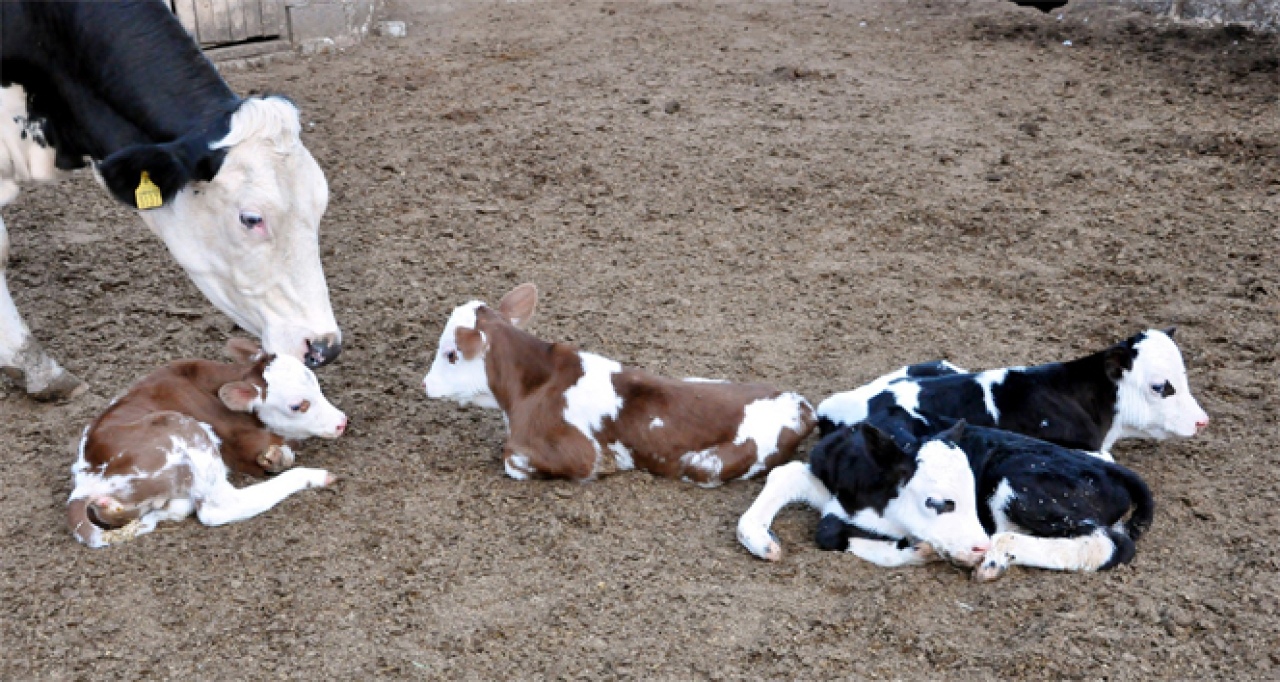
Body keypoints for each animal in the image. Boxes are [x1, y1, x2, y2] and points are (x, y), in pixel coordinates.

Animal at [67, 340, 348, 547]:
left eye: (318, 386)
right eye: (298, 405)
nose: (341, 422)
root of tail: (83, 486)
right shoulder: (242, 443)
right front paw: (279, 456)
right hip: (185, 431)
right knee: (218, 508)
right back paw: (315, 475)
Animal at [424, 282, 814, 483]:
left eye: (451, 354)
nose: (425, 385)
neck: (531, 388)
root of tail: (800, 404)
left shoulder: (581, 453)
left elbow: (513, 459)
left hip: (706, 464)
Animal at [737, 417, 1157, 583]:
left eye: (971, 497)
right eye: (938, 502)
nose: (977, 545)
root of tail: (1112, 471)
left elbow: (831, 533)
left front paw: (918, 550)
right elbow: (786, 476)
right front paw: (761, 540)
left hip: (1020, 482)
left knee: (1109, 544)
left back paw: (995, 557)